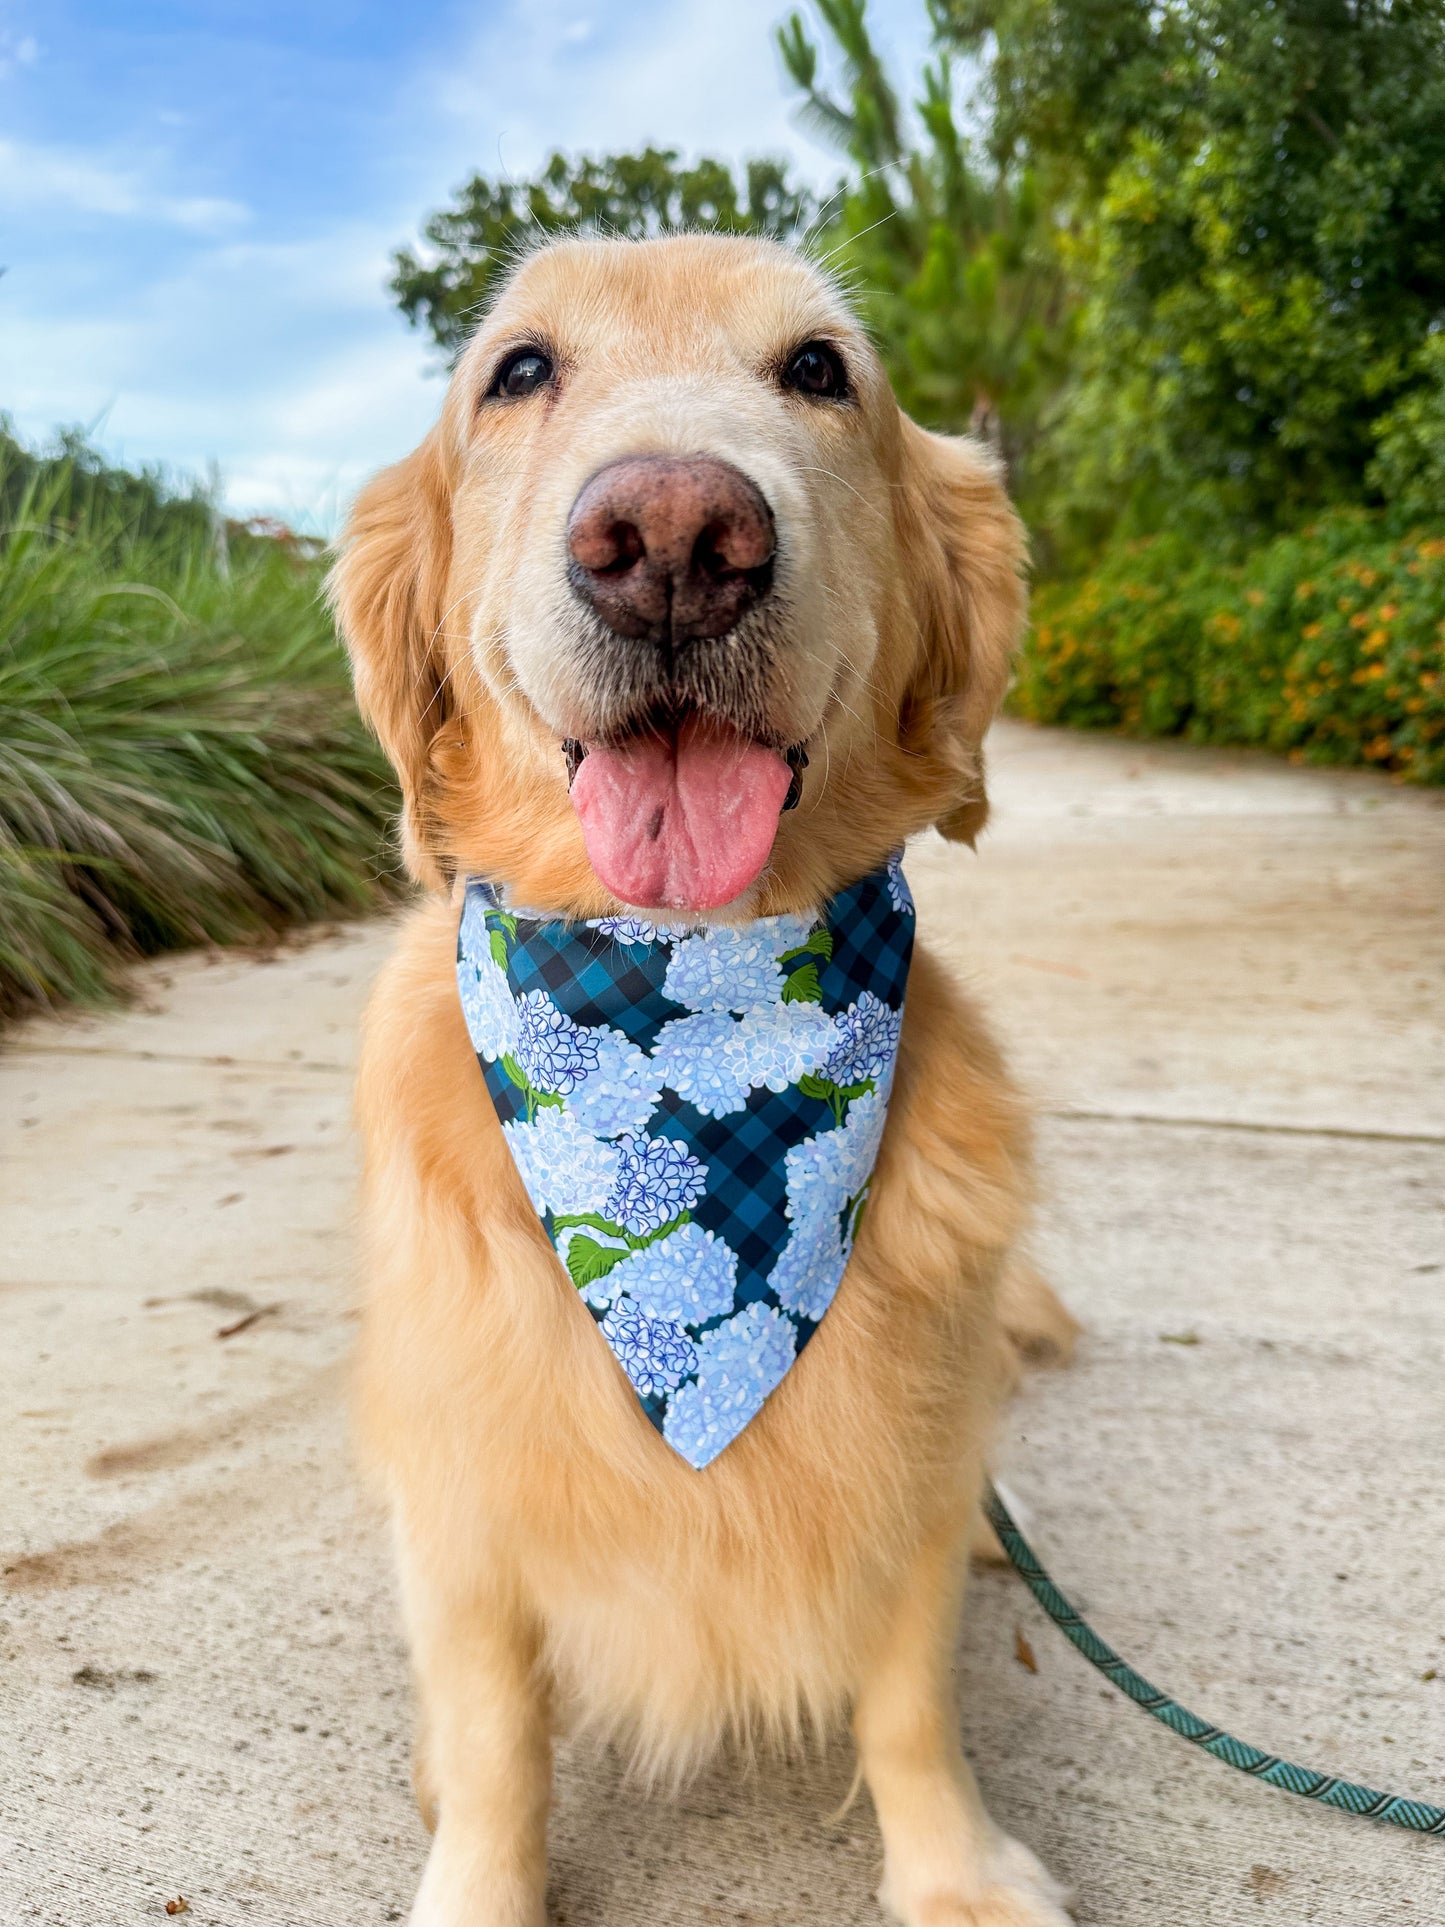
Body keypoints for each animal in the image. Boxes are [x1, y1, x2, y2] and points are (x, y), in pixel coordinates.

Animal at [327, 233, 1078, 1919]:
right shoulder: (460, 1496)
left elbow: (910, 1699)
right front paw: (479, 1879)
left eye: (818, 370)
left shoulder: (905, 1472)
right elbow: (495, 1736)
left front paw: (956, 1871)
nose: (671, 535)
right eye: (517, 370)